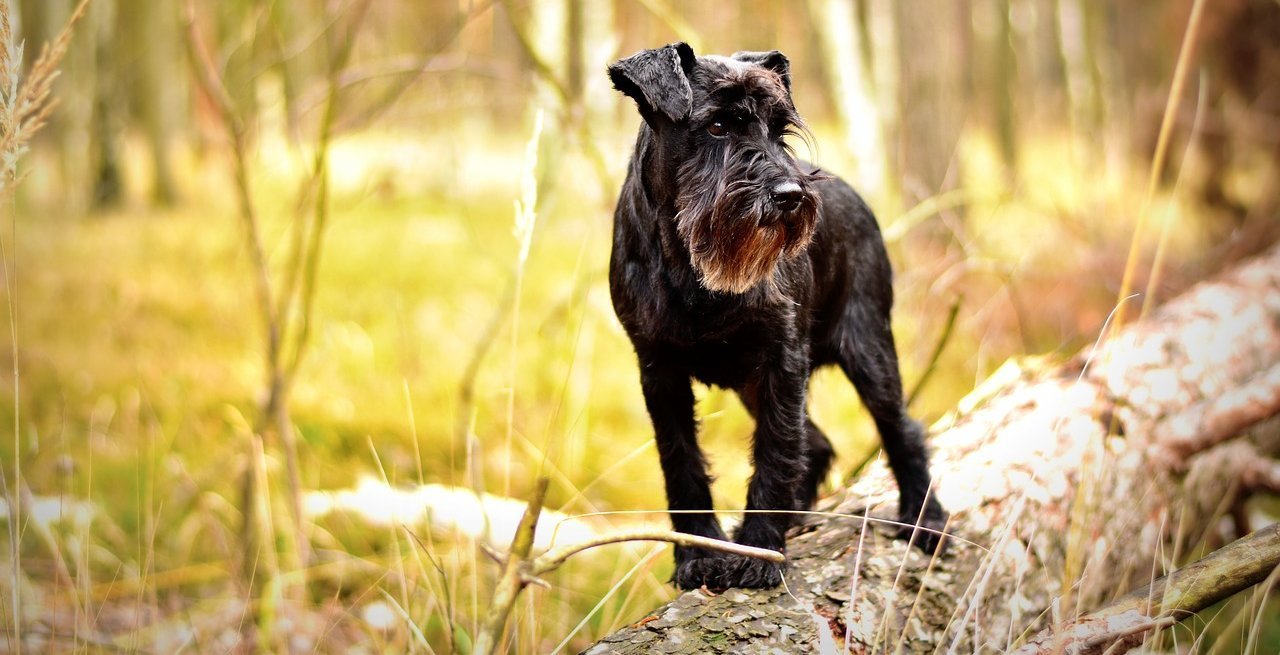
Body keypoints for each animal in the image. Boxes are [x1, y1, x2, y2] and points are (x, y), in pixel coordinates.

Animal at [604, 43, 947, 591]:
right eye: (717, 126)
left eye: (780, 128)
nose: (790, 194)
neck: (691, 269)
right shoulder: (659, 371)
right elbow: (682, 461)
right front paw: (699, 554)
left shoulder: (781, 362)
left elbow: (776, 450)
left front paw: (760, 550)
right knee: (821, 443)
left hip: (870, 351)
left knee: (902, 429)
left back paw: (925, 520)